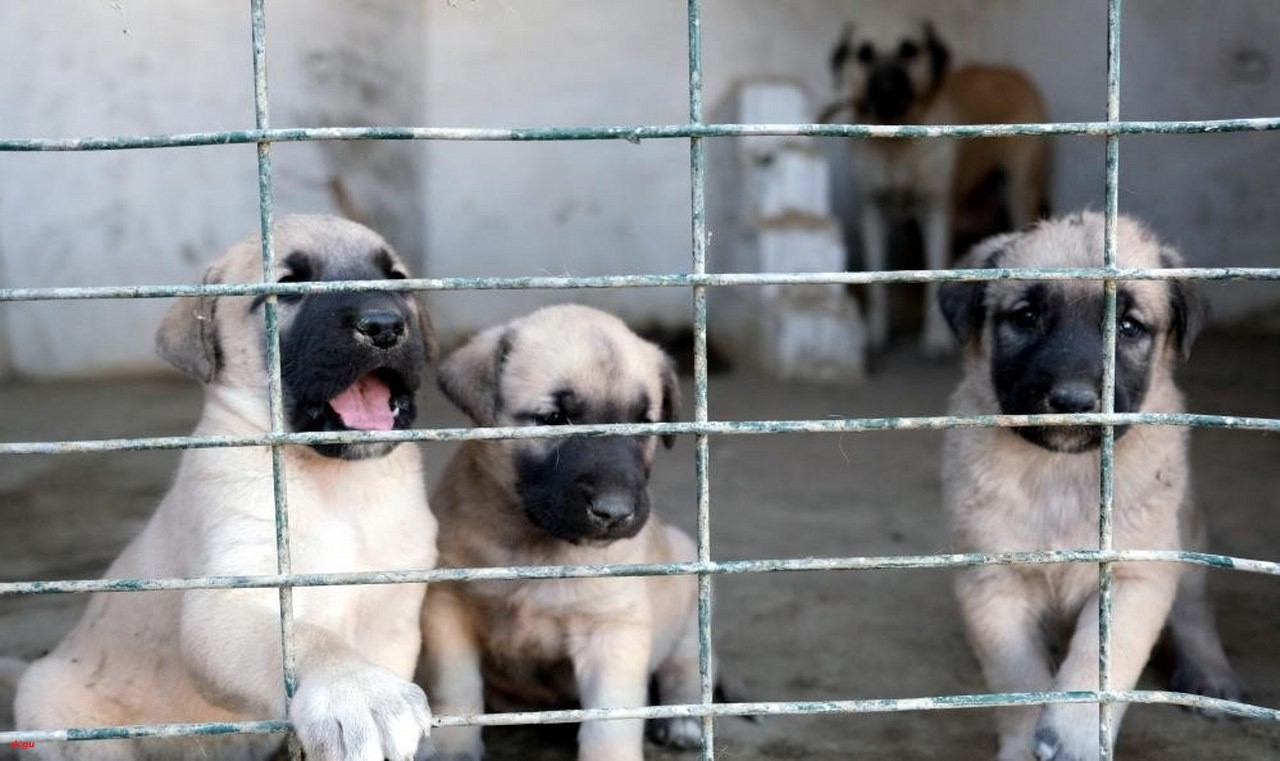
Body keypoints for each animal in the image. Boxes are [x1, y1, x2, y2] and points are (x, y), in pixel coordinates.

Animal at [12, 214, 442, 761]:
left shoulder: (393, 619)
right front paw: (357, 690)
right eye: (288, 285)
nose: (384, 325)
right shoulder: (232, 599)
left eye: (396, 278)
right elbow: (307, 638)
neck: (337, 487)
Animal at [419, 303, 716, 761]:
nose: (615, 512)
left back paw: (683, 720)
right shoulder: (447, 608)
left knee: (685, 668)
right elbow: (455, 687)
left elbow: (611, 725)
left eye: (643, 422)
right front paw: (452, 749)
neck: (533, 544)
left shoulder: (612, 631)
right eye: (554, 418)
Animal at [829, 17, 1049, 358]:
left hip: (1019, 188)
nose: (886, 92)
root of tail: (1009, 71)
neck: (896, 144)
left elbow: (935, 272)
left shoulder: (935, 211)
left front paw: (935, 339)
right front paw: (875, 336)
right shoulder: (873, 211)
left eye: (909, 50)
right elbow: (876, 280)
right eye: (864, 54)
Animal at [942, 209, 1239, 761]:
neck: (1063, 471)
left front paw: (1074, 737)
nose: (1073, 401)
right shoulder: (991, 582)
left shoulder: (1135, 576)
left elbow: (1102, 664)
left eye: (1129, 327)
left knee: (1195, 612)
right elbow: (1016, 674)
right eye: (1026, 317)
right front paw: (1025, 744)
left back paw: (1212, 677)